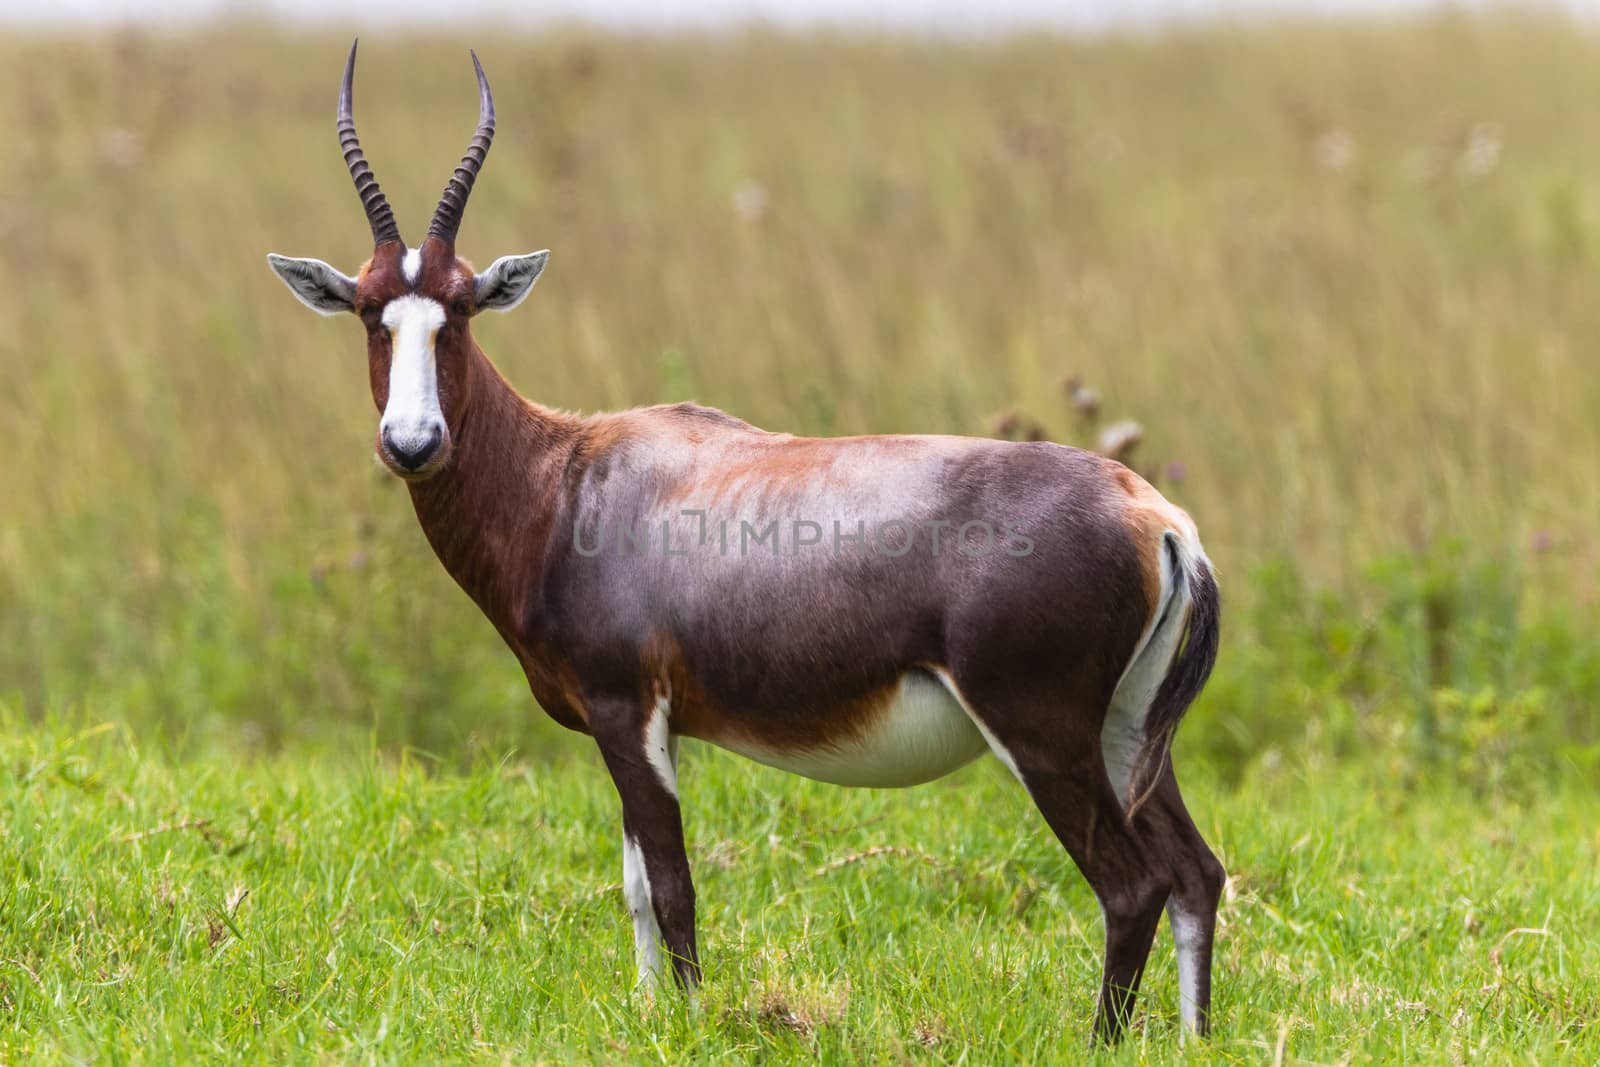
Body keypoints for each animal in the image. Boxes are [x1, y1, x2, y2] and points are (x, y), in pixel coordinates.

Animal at [272, 43, 1222, 1043]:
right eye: (370, 311)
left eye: (458, 309)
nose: (412, 442)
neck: (569, 473)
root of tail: (1156, 516)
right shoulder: (644, 726)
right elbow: (636, 888)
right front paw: (651, 1009)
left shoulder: (624, 710)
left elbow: (674, 885)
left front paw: (689, 1018)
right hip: (1127, 733)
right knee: (1195, 872)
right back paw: (1193, 1036)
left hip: (1045, 736)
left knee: (1133, 884)